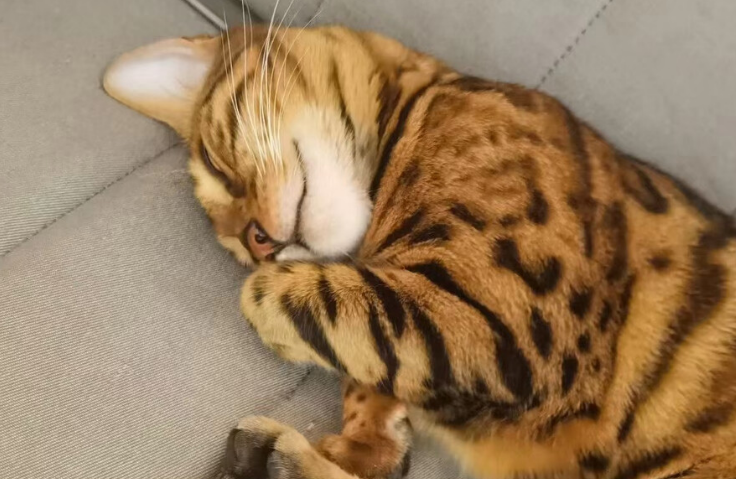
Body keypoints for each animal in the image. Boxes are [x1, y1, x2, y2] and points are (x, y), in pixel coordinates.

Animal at [102, 22, 736, 479]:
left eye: (215, 164)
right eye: (238, 246)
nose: (260, 241)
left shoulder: (518, 329)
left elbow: (280, 300)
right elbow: (374, 347)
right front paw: (369, 436)